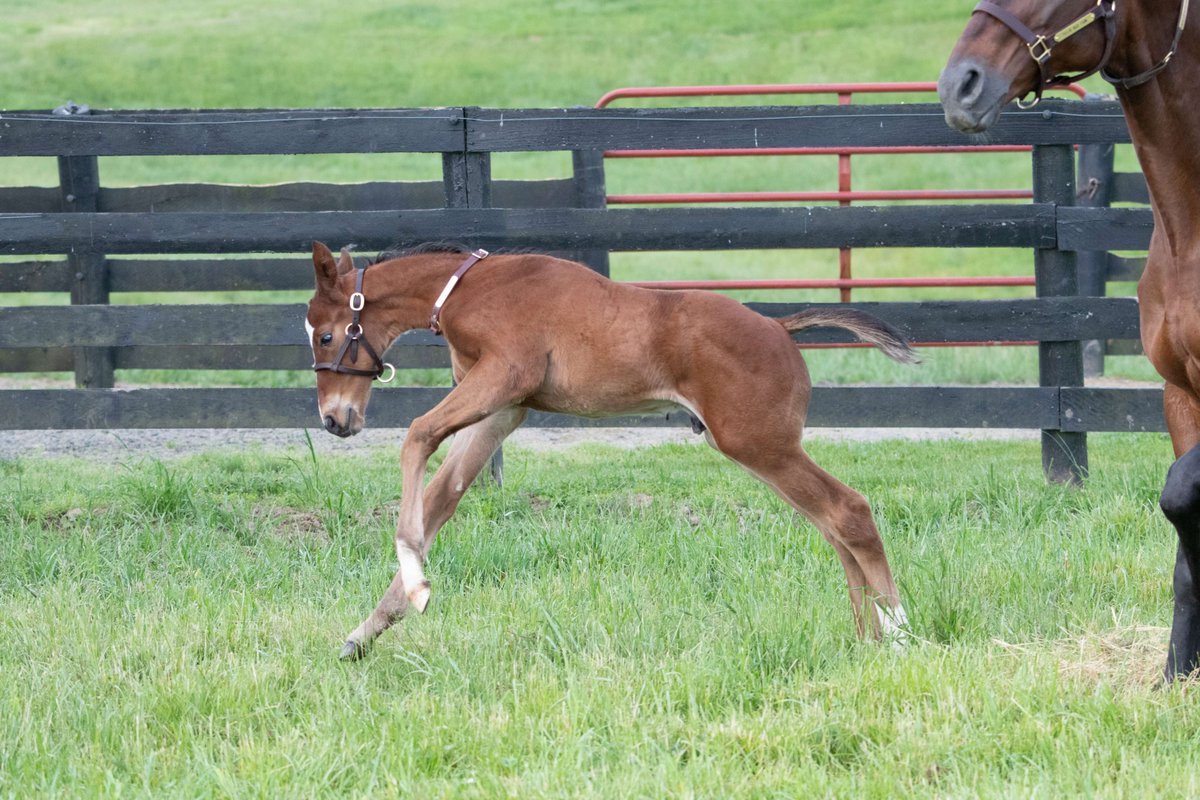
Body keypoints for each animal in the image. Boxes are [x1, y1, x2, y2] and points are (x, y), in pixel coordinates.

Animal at [304, 241, 918, 659]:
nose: (335, 420)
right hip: (761, 448)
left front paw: (417, 588)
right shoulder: (504, 410)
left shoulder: (505, 375)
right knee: (831, 524)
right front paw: (365, 632)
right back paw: (866, 641)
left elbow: (415, 436)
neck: (465, 287)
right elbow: (439, 501)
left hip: (758, 443)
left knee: (848, 511)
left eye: (327, 335)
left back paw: (900, 634)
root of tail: (778, 325)